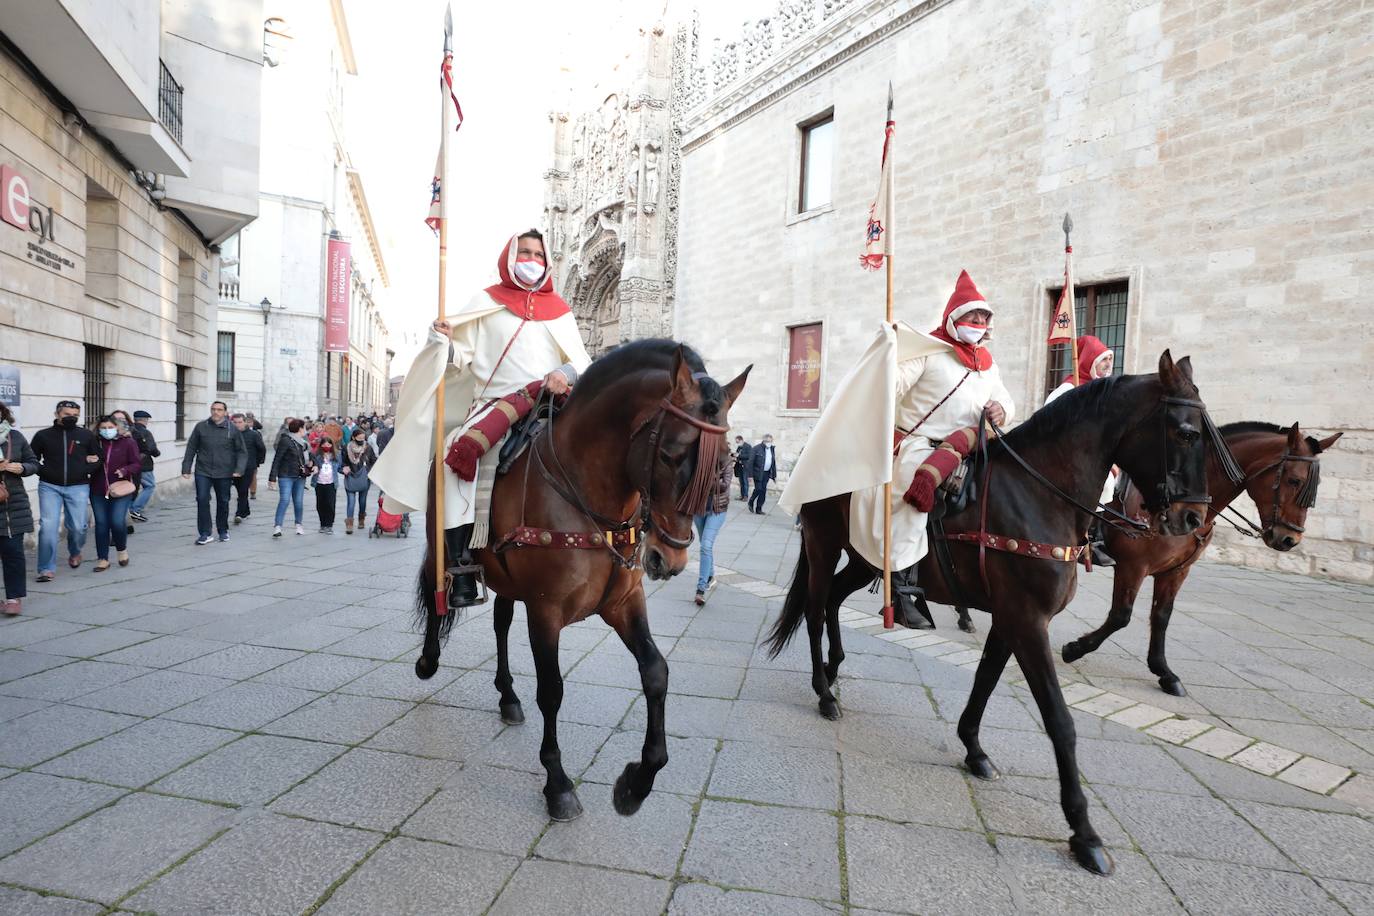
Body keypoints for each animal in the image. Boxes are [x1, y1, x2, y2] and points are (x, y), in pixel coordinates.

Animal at [412, 341, 752, 823]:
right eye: (669, 454)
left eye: (725, 462)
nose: (668, 558)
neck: (588, 496)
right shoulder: (545, 610)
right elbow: (552, 691)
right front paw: (558, 785)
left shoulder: (624, 603)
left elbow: (656, 672)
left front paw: (636, 784)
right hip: (440, 539)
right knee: (434, 589)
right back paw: (429, 659)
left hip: (506, 579)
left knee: (500, 624)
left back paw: (507, 696)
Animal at [769, 351, 1220, 873]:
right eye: (1186, 433)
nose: (1192, 519)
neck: (1039, 492)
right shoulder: (1027, 621)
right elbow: (1059, 720)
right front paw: (1084, 831)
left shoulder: (1010, 619)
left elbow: (985, 680)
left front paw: (973, 749)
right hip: (823, 544)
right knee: (815, 609)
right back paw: (824, 692)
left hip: (863, 558)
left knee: (834, 603)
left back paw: (837, 665)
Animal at [1060, 422, 1341, 694]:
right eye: (1294, 480)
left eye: (1315, 486)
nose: (1289, 539)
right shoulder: (1133, 567)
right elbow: (1121, 615)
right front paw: (1075, 648)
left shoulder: (1176, 571)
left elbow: (1161, 616)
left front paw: (1164, 671)